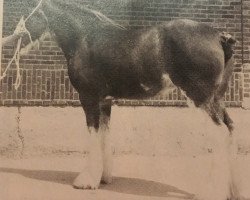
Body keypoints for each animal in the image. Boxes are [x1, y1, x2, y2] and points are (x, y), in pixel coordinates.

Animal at [9, 0, 240, 198]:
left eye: (27, 10)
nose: (14, 39)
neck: (85, 37)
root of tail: (219, 36)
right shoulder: (105, 101)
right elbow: (104, 135)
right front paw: (103, 177)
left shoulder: (89, 99)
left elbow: (93, 135)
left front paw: (86, 181)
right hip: (217, 99)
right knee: (230, 128)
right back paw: (232, 192)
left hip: (200, 98)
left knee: (220, 133)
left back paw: (211, 192)